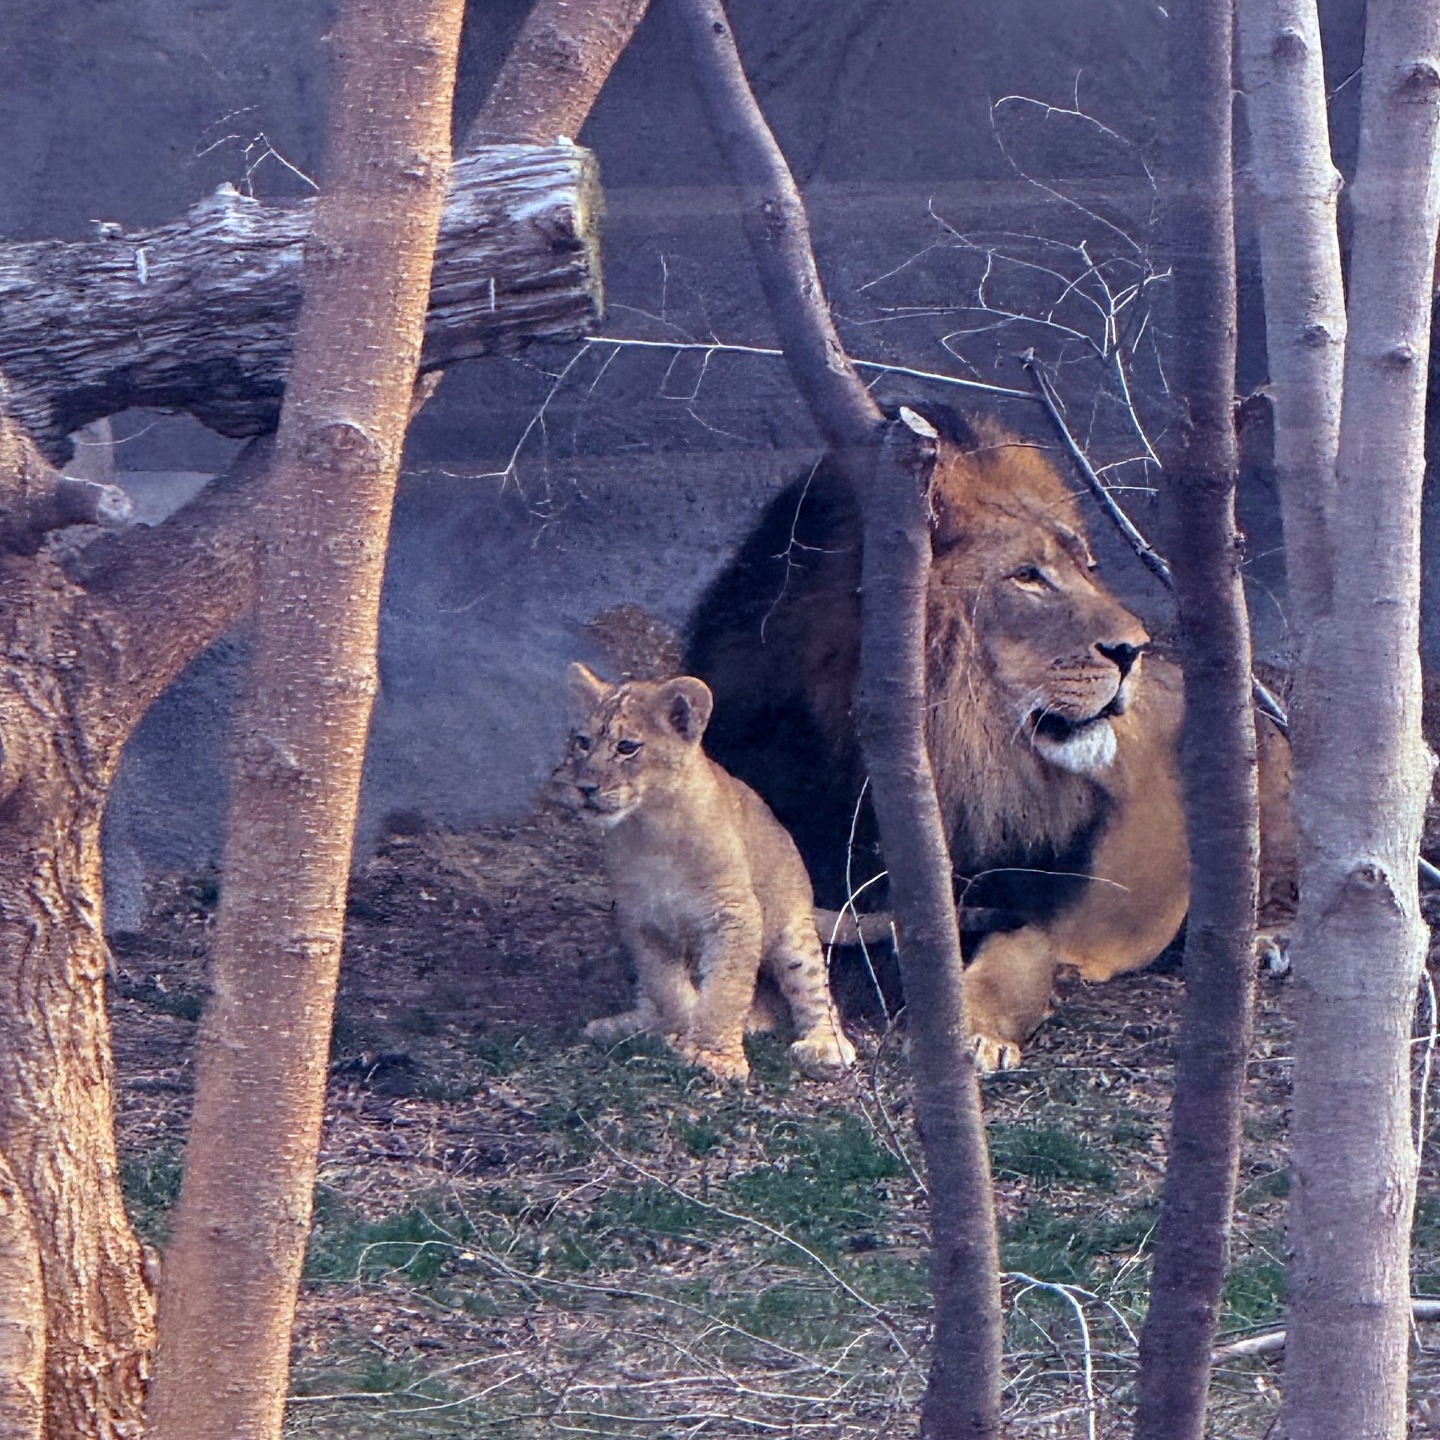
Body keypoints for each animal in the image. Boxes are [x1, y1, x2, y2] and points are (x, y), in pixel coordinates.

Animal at [557, 663, 857, 1083]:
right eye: (583, 742)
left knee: (811, 990)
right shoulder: (641, 919)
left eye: (627, 747)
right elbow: (667, 986)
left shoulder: (734, 912)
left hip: (792, 929)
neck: (650, 829)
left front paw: (715, 1056)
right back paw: (631, 1025)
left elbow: (727, 989)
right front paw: (680, 1029)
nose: (585, 788)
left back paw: (824, 1045)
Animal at [687, 406, 1291, 1070]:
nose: (1135, 649)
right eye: (1027, 576)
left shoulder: (1027, 909)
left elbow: (1011, 966)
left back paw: (1266, 941)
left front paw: (974, 1033)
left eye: (1087, 567)